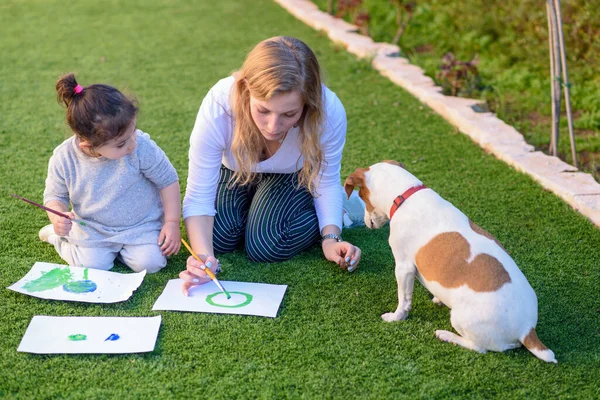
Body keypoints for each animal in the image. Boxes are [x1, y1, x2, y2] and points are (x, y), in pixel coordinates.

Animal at [346, 159, 556, 362]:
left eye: (362, 197)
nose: (366, 222)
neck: (405, 196)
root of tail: (528, 330)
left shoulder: (404, 267)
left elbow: (403, 300)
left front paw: (395, 317)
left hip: (460, 318)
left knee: (479, 348)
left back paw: (447, 335)